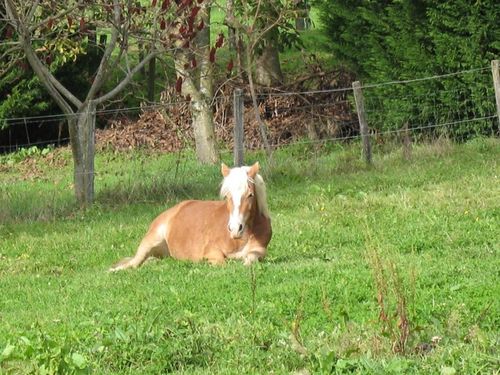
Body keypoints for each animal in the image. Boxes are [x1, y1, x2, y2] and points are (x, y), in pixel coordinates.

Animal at [109, 163, 272, 272]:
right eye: (227, 196)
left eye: (250, 195)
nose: (235, 229)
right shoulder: (212, 251)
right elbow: (222, 262)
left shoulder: (259, 251)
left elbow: (251, 259)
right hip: (150, 242)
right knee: (133, 263)